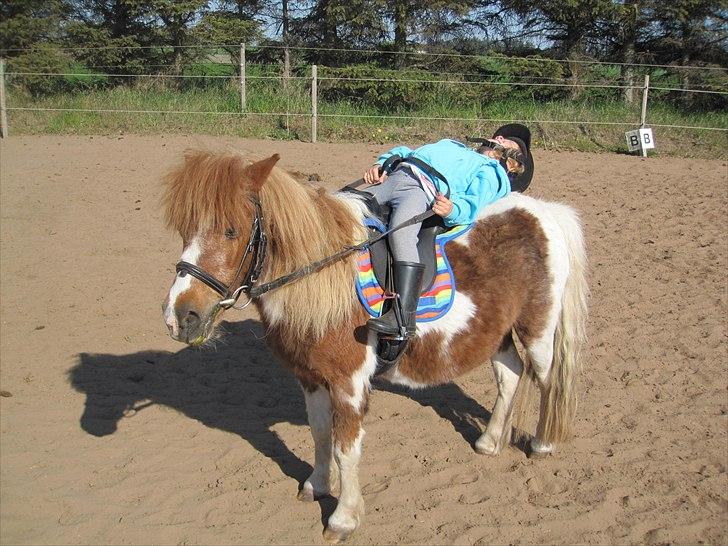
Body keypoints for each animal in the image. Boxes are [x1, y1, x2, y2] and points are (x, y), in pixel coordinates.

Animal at [161, 150, 588, 543]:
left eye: (232, 231)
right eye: (185, 229)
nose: (180, 316)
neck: (324, 276)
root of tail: (545, 212)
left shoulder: (349, 382)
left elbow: (346, 449)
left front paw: (343, 518)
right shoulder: (310, 378)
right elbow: (320, 433)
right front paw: (317, 485)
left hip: (537, 329)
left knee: (547, 379)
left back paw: (543, 443)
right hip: (494, 332)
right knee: (510, 374)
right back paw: (489, 441)